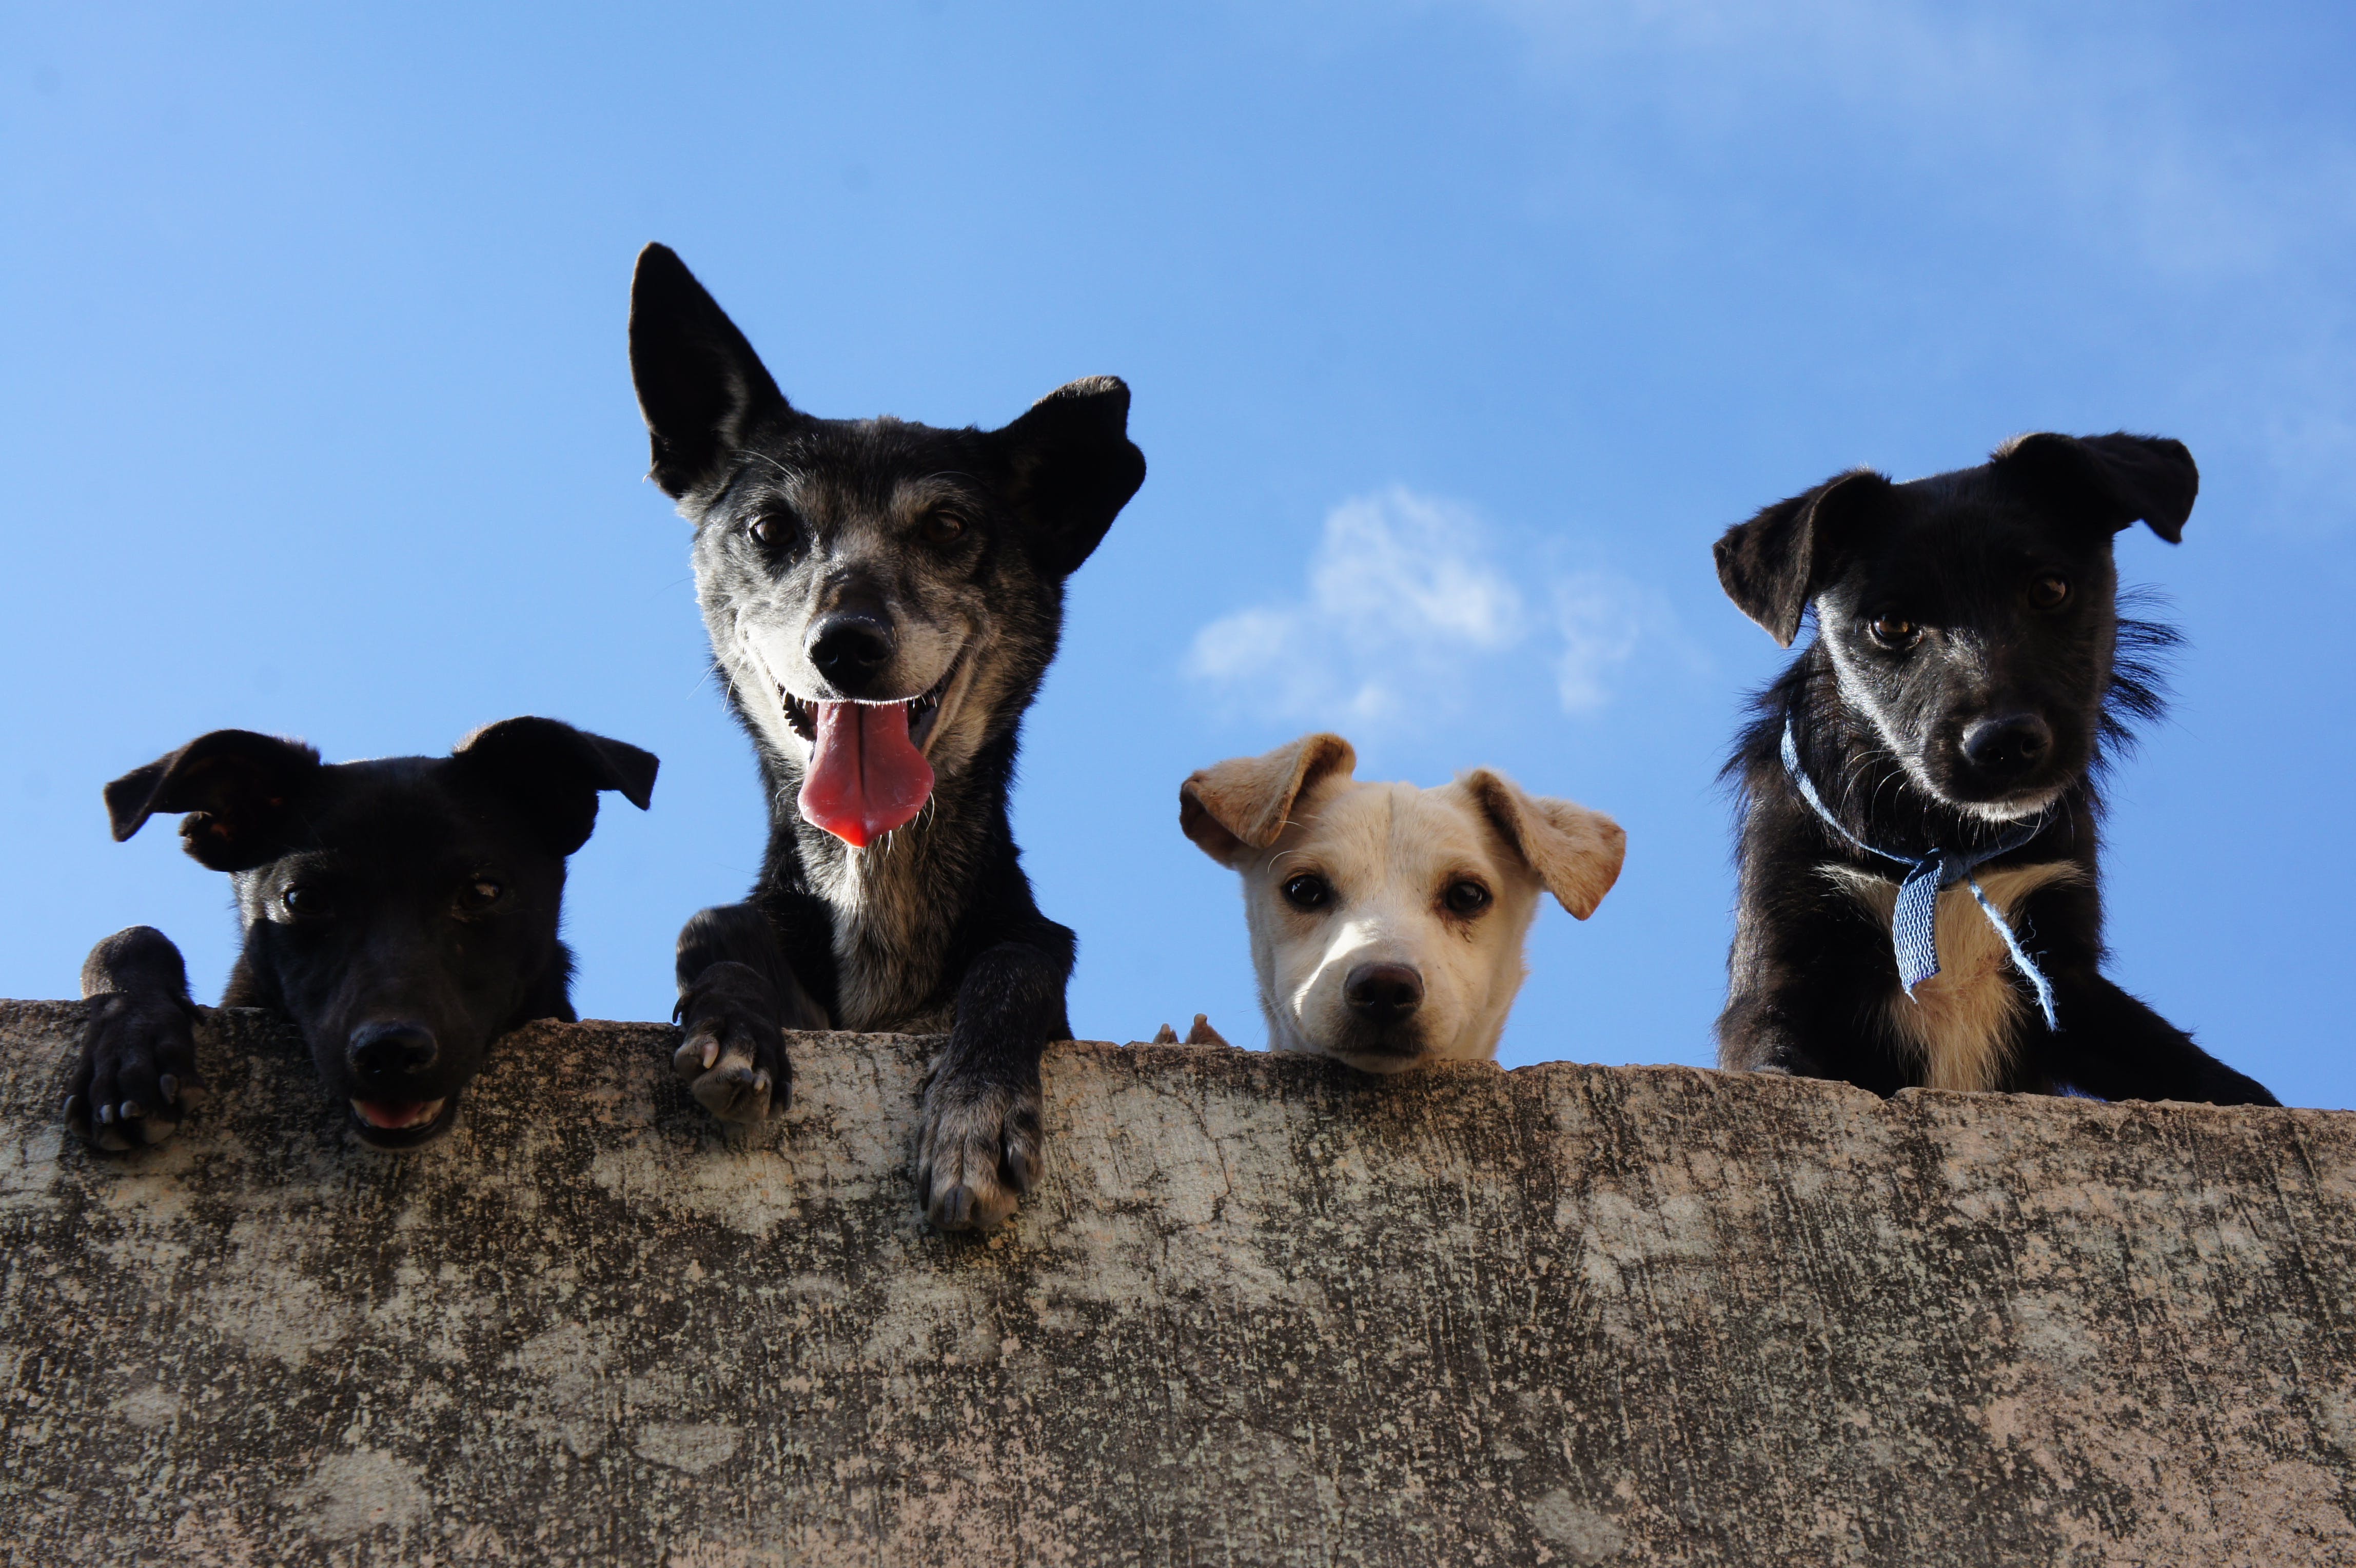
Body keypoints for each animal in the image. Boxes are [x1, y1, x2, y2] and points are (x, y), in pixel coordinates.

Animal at [622, 245, 1145, 1224]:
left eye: (947, 526)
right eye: (770, 528)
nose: (847, 645)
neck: (876, 886)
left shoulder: (1029, 956)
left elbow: (1017, 962)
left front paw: (976, 1115)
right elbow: (710, 922)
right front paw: (735, 1025)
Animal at [1715, 428, 2281, 1097]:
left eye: (2049, 589)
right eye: (1889, 624)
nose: (2004, 741)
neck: (1945, 848)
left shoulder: (2064, 975)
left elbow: (2206, 1075)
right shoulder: (1780, 968)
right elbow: (1774, 1058)